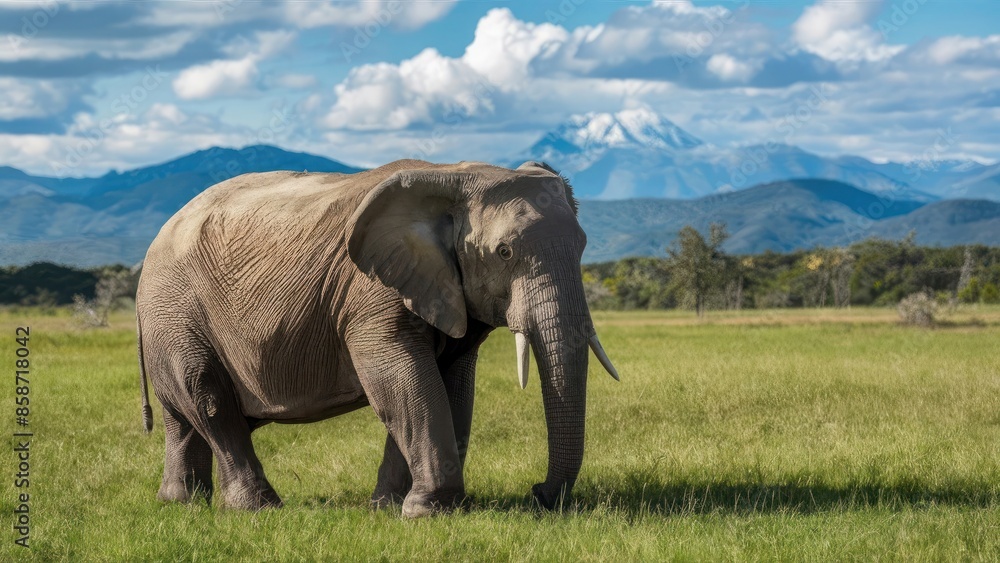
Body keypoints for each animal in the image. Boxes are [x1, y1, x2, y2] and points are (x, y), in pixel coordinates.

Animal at [135, 159, 619, 517]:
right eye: (504, 252)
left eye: (582, 247)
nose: (539, 493)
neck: (458, 176)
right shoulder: (371, 291)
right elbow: (401, 378)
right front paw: (428, 513)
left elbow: (452, 385)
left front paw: (388, 509)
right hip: (175, 313)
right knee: (209, 400)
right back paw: (258, 509)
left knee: (185, 418)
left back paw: (180, 505)